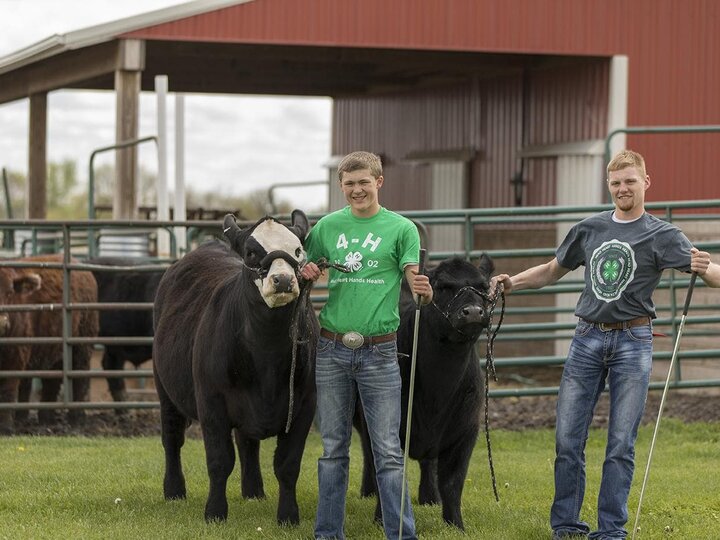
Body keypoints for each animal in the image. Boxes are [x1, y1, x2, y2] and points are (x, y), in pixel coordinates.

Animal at [153, 210, 316, 524]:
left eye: (298, 251)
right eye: (251, 252)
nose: (282, 280)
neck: (267, 352)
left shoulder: (304, 406)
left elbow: (288, 464)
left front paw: (288, 516)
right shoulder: (211, 403)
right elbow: (219, 460)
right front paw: (215, 512)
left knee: (246, 442)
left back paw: (253, 491)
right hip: (164, 390)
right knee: (172, 438)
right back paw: (173, 490)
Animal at [356, 255, 496, 528]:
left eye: (483, 287)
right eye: (442, 286)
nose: (474, 312)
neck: (437, 391)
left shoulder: (465, 431)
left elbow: (452, 482)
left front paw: (456, 524)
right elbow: (385, 475)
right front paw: (382, 520)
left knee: (429, 462)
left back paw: (430, 497)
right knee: (367, 455)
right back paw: (366, 491)